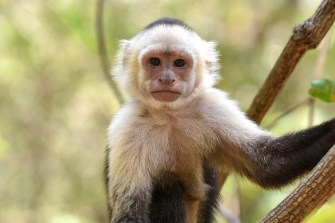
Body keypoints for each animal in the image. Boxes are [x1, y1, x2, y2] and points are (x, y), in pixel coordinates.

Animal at [105, 17, 335, 223]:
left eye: (179, 63)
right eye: (155, 62)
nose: (167, 79)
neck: (169, 114)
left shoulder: (213, 107)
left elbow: (269, 164)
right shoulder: (127, 126)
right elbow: (129, 211)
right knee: (169, 185)